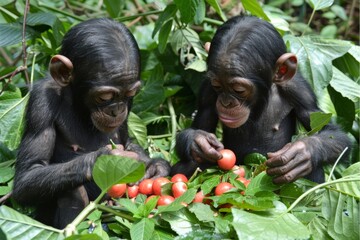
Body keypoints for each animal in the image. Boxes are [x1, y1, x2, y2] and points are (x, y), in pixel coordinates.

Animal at [12, 18, 170, 229]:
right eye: (105, 96)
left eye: (130, 94)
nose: (117, 109)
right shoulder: (41, 103)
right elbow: (28, 174)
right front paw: (109, 159)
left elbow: (129, 142)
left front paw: (155, 169)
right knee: (71, 190)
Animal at [172, 15, 352, 184]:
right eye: (218, 86)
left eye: (239, 90)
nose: (226, 102)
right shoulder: (206, 91)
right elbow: (199, 126)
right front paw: (198, 142)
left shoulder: (301, 92)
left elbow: (331, 132)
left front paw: (302, 152)